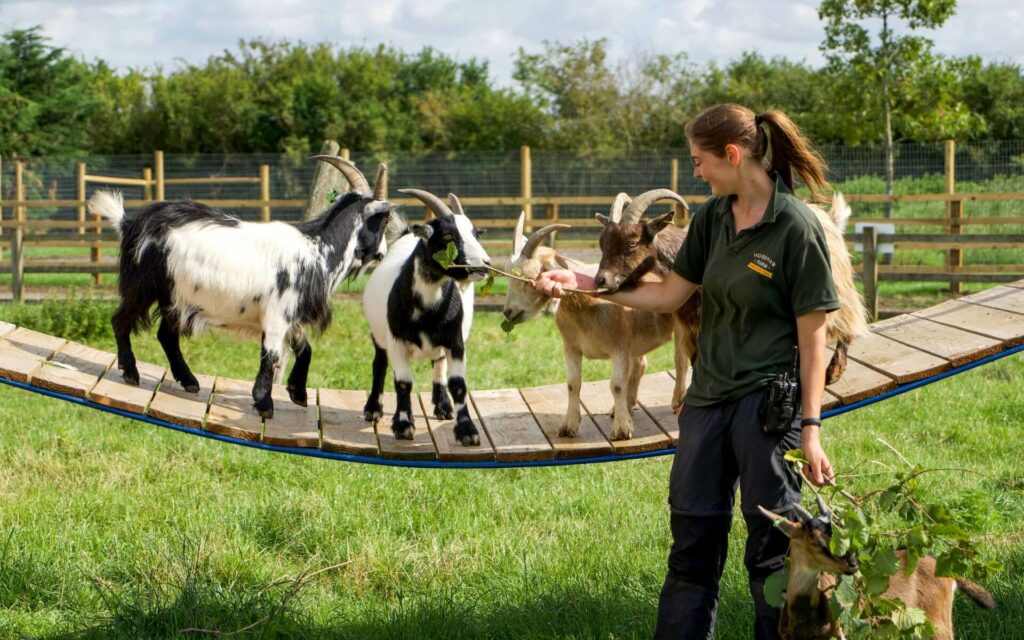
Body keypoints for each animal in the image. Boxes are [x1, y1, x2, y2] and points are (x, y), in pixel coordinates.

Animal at [90, 155, 393, 419]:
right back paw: (131, 372)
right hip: (143, 286)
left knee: (166, 335)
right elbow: (271, 356)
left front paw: (298, 393)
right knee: (120, 321)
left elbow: (305, 349)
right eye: (385, 219)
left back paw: (188, 380)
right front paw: (264, 403)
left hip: (174, 297)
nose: (382, 254)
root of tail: (130, 223)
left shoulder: (291, 314)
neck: (317, 249)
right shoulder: (277, 315)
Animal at [364, 184, 491, 444]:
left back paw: (443, 406)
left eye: (476, 233)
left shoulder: (456, 341)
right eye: (448, 236)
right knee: (379, 364)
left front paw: (467, 430)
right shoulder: (397, 341)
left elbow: (458, 384)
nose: (484, 264)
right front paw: (403, 425)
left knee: (438, 363)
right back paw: (373, 409)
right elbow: (403, 383)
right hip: (378, 336)